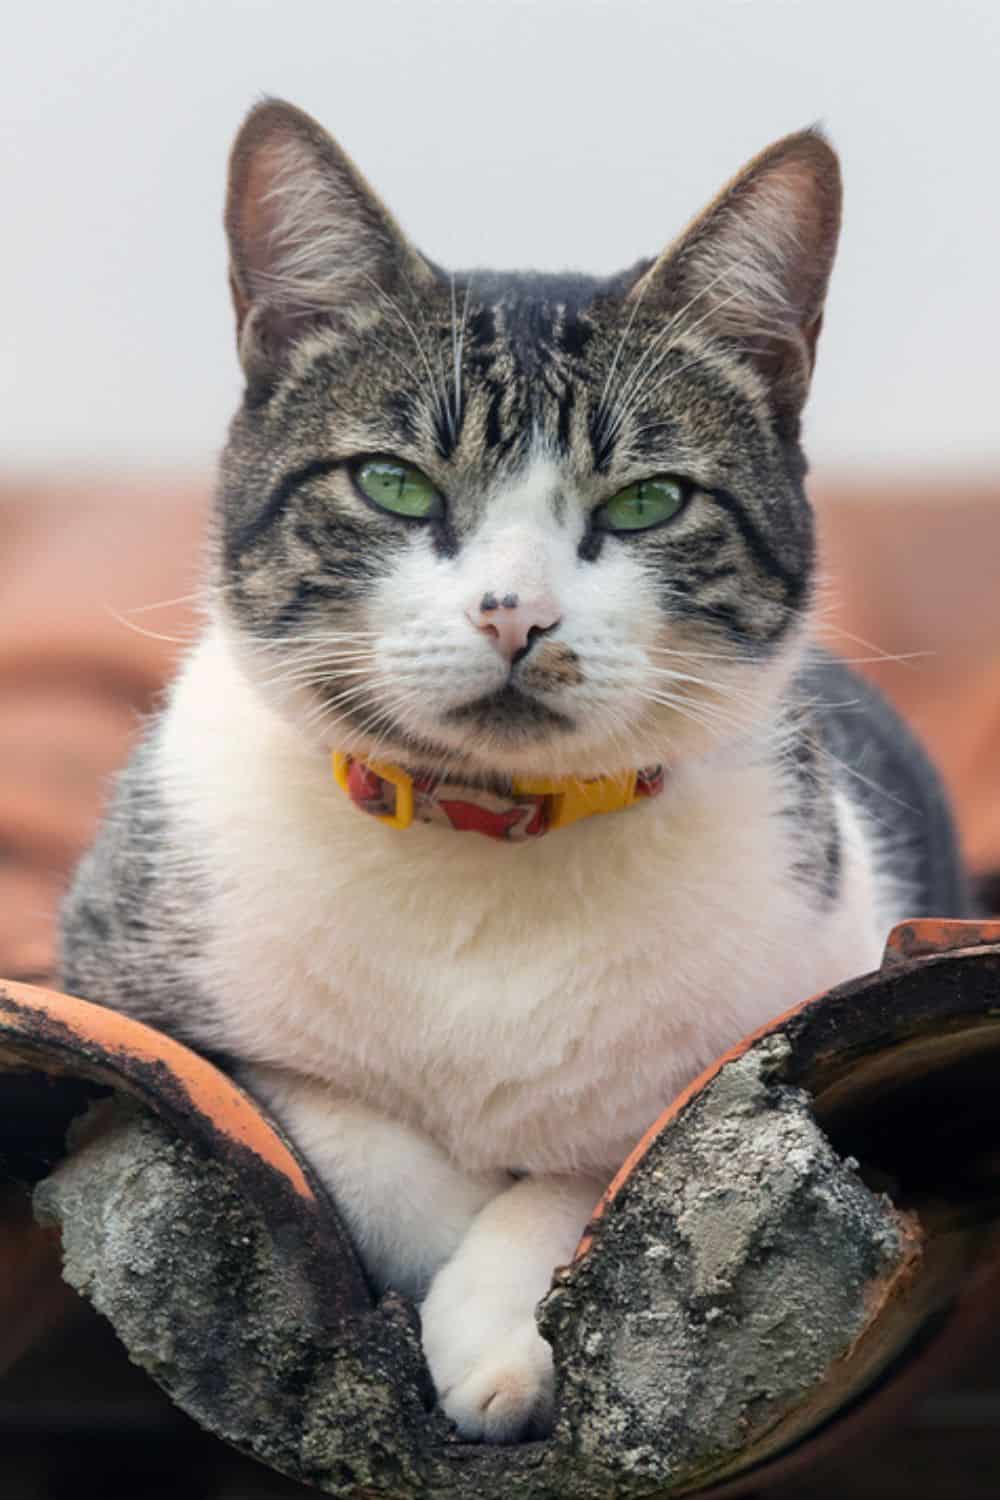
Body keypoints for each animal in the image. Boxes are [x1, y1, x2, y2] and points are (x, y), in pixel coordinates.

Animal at [58, 96, 965, 1440]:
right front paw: (437, 1262)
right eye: (391, 482)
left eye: (646, 502)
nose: (515, 615)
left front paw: (490, 1329)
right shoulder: (126, 988)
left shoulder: (775, 1018)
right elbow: (326, 1120)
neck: (485, 839)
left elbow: (594, 1163)